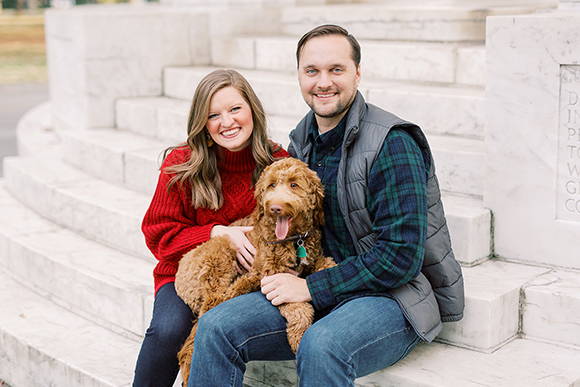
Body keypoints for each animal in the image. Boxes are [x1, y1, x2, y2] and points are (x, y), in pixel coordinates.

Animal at [173, 157, 336, 384]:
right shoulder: (275, 278)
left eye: (294, 184)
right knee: (212, 306)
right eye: (271, 185)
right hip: (221, 252)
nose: (275, 208)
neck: (294, 239)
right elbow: (298, 308)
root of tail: (180, 268)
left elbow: (326, 264)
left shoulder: (312, 258)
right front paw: (298, 336)